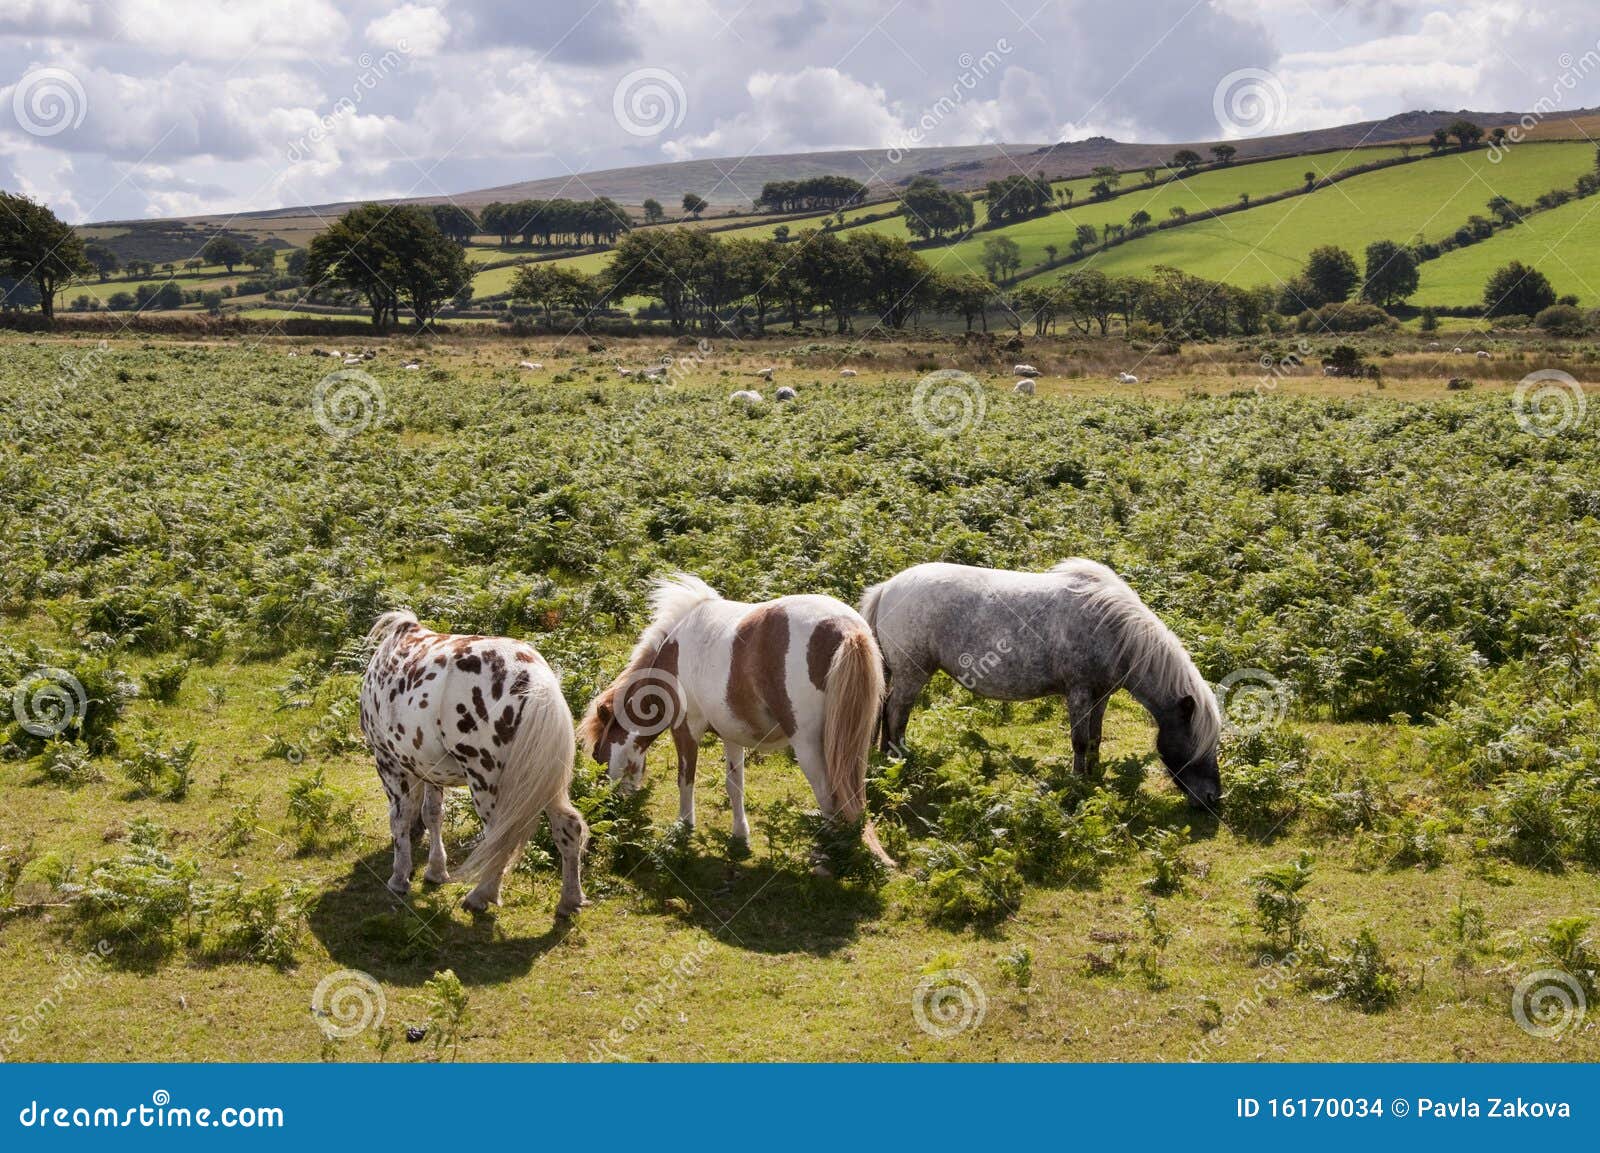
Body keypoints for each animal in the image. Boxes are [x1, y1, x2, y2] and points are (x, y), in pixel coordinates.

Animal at [360, 611, 588, 915]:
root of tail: (532, 677)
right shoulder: (429, 769)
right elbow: (433, 814)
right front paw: (435, 871)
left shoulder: (388, 763)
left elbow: (400, 818)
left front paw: (399, 877)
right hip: (542, 781)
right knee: (569, 828)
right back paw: (570, 900)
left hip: (486, 781)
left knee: (499, 837)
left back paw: (481, 895)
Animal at [579, 573, 892, 866]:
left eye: (597, 755)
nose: (609, 812)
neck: (672, 655)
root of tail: (847, 628)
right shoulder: (731, 734)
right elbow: (735, 784)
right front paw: (740, 835)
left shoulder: (685, 728)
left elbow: (686, 778)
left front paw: (683, 828)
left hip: (809, 746)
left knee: (828, 795)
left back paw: (825, 855)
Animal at [858, 560, 1222, 809]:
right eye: (1196, 745)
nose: (1212, 798)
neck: (1113, 629)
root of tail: (887, 588)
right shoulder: (1078, 693)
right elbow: (1079, 740)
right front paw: (1078, 782)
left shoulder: (1100, 695)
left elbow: (1095, 737)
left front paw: (1095, 775)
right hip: (912, 674)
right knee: (897, 714)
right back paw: (899, 759)